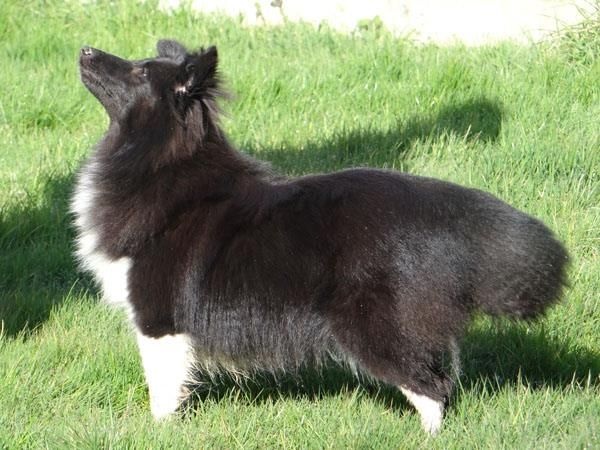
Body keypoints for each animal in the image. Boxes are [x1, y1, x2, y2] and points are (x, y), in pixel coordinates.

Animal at [72, 40, 568, 434]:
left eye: (139, 71)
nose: (86, 49)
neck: (159, 159)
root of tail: (443, 207)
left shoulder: (157, 318)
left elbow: (161, 387)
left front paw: (157, 430)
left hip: (374, 325)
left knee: (432, 386)